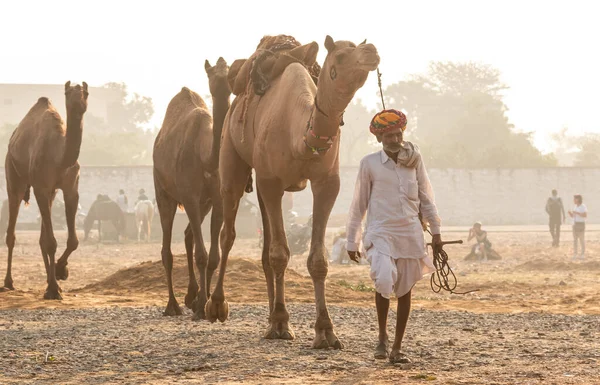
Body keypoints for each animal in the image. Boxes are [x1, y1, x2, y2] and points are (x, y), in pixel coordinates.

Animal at [2, 81, 87, 296]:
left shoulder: (70, 188)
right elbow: (51, 241)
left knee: (42, 235)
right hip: (13, 176)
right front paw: (54, 289)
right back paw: (9, 282)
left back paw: (50, 280)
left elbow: (72, 241)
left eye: (86, 93)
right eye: (67, 94)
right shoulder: (40, 186)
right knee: (11, 231)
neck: (60, 157)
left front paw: (60, 272)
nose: (79, 104)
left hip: (51, 192)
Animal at [152, 56, 230, 316]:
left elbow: (213, 257)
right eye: (211, 73)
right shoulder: (189, 196)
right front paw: (202, 308)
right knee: (167, 250)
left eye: (229, 70)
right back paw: (173, 305)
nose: (223, 81)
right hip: (162, 190)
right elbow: (202, 255)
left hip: (203, 203)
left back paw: (191, 297)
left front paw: (205, 304)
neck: (206, 155)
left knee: (188, 235)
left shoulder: (216, 199)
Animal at [212, 36, 380, 348]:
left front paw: (325, 331)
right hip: (230, 154)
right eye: (340, 55)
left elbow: (317, 260)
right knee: (228, 231)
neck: (299, 136)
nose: (372, 50)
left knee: (265, 245)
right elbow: (280, 254)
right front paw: (281, 324)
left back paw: (268, 314)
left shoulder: (327, 183)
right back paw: (216, 306)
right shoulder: (271, 181)